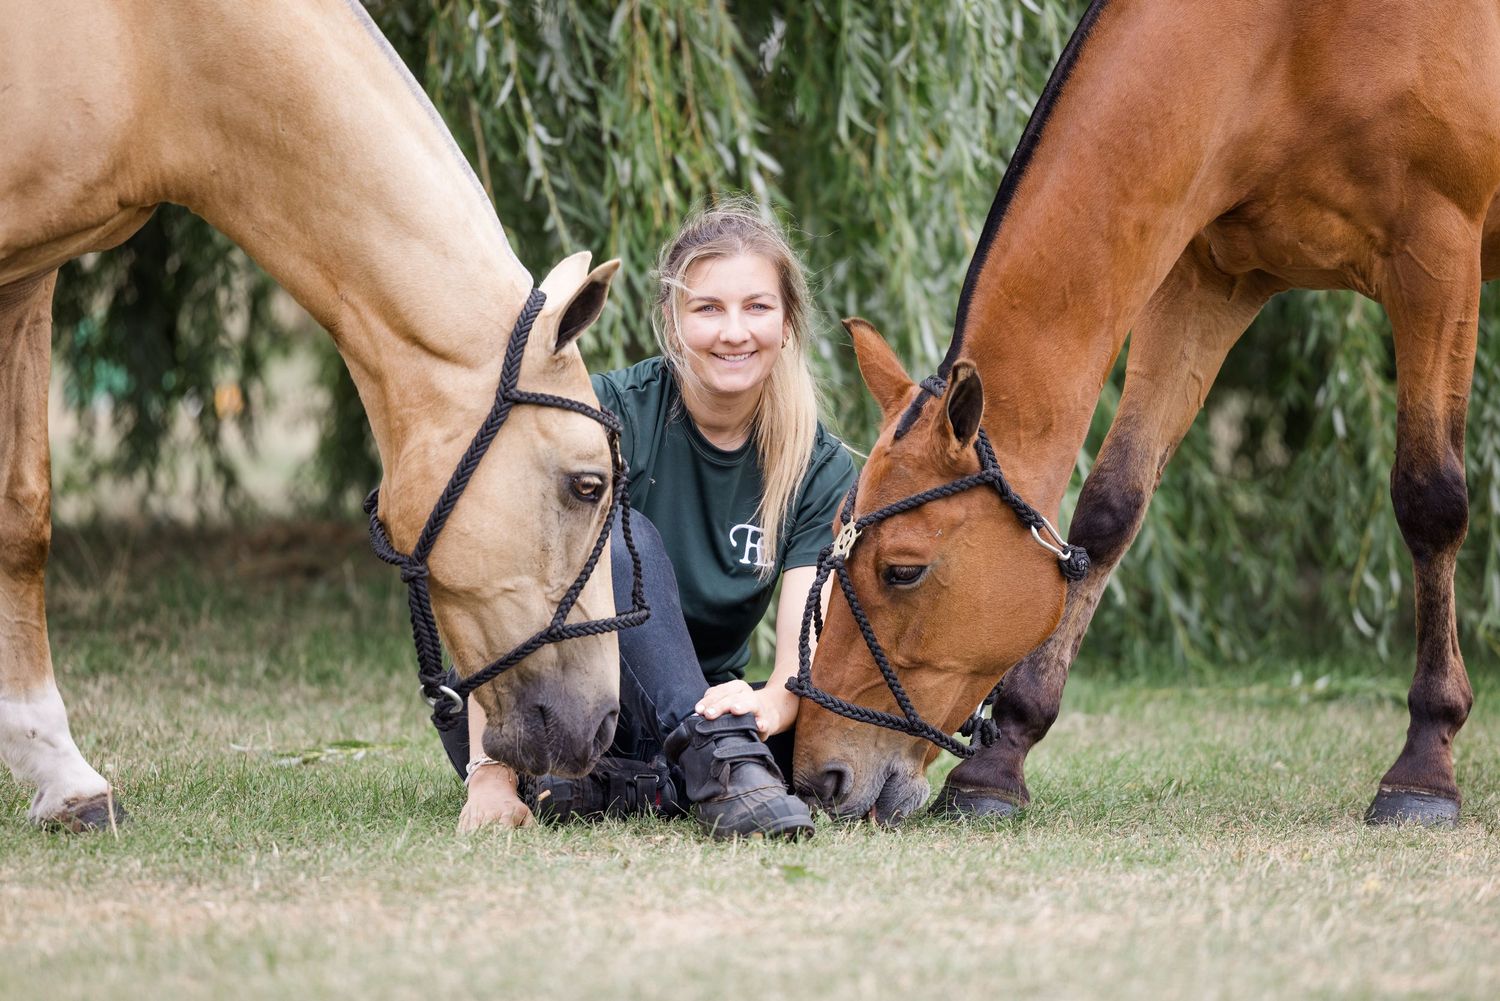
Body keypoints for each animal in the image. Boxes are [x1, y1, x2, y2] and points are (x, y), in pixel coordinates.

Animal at [1, 0, 625, 831]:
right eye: (588, 485)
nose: (605, 724)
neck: (152, 51)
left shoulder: (32, 273)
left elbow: (23, 515)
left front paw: (63, 777)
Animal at [792, 0, 1500, 826]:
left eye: (902, 569)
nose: (816, 776)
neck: (1291, 41)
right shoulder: (1206, 279)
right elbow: (1110, 508)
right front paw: (999, 762)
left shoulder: (1436, 261)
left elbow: (1430, 501)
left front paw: (1425, 763)